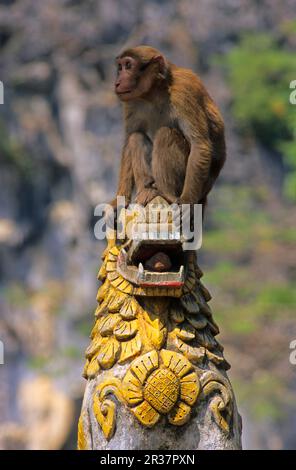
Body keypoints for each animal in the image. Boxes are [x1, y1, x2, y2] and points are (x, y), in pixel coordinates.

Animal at [110, 44, 225, 213]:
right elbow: (128, 140)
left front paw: (186, 202)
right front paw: (119, 200)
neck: (156, 90)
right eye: (120, 67)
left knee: (165, 134)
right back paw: (147, 189)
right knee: (136, 137)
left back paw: (166, 193)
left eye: (128, 66)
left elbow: (199, 144)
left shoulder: (184, 92)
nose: (117, 82)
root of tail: (204, 197)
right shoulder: (132, 101)